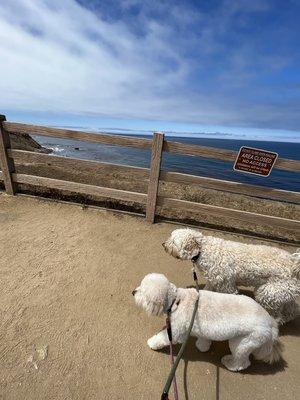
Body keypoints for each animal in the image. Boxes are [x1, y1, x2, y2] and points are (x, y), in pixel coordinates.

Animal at [132, 272, 282, 372]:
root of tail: (271, 324)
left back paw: (230, 364)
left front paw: (152, 343)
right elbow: (203, 338)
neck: (176, 301)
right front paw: (202, 346)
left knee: (243, 362)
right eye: (139, 285)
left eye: (143, 292)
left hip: (243, 342)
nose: (133, 292)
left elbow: (163, 338)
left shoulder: (175, 331)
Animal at [163, 227, 300, 324]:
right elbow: (207, 290)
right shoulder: (214, 279)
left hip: (267, 293)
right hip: (280, 292)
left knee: (276, 316)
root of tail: (294, 265)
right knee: (291, 310)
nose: (163, 244)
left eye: (173, 241)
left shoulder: (226, 285)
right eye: (170, 236)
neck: (203, 250)